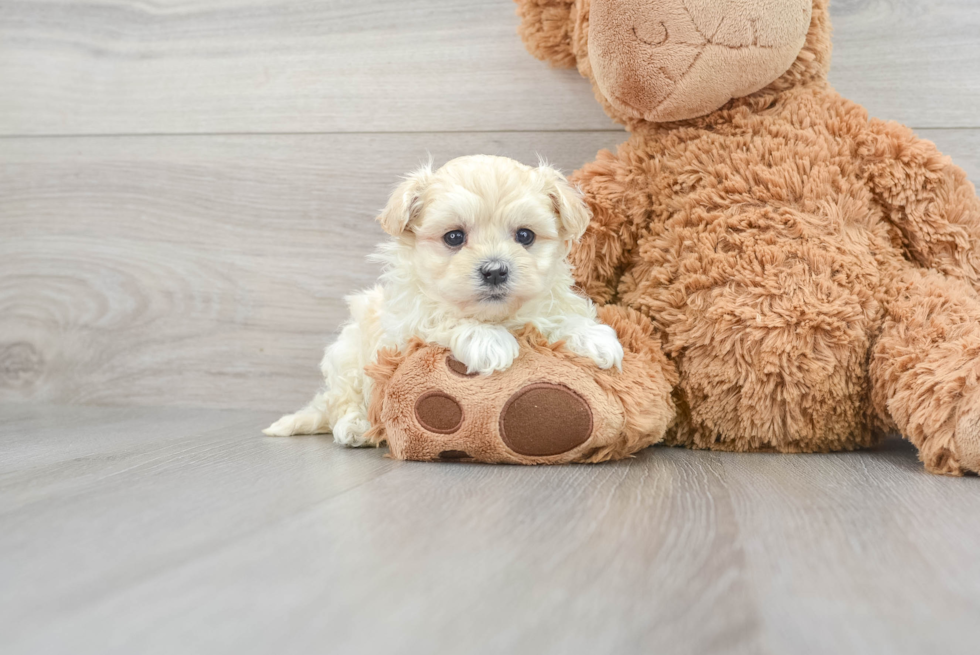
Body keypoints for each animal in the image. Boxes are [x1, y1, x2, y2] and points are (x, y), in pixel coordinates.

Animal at [264, 155, 624, 446]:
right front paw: (488, 341)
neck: (497, 316)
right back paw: (355, 426)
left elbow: (561, 314)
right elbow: (443, 317)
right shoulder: (405, 324)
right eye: (454, 237)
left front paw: (593, 337)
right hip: (347, 357)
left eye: (525, 235)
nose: (495, 270)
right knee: (343, 399)